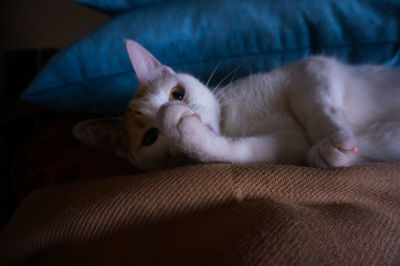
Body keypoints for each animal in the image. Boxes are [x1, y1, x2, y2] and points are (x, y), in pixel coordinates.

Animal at [73, 40, 400, 171]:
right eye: (151, 137)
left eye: (176, 94)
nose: (182, 110)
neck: (234, 118)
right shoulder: (286, 146)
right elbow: (235, 151)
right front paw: (189, 133)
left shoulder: (311, 70)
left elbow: (320, 110)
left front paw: (335, 140)